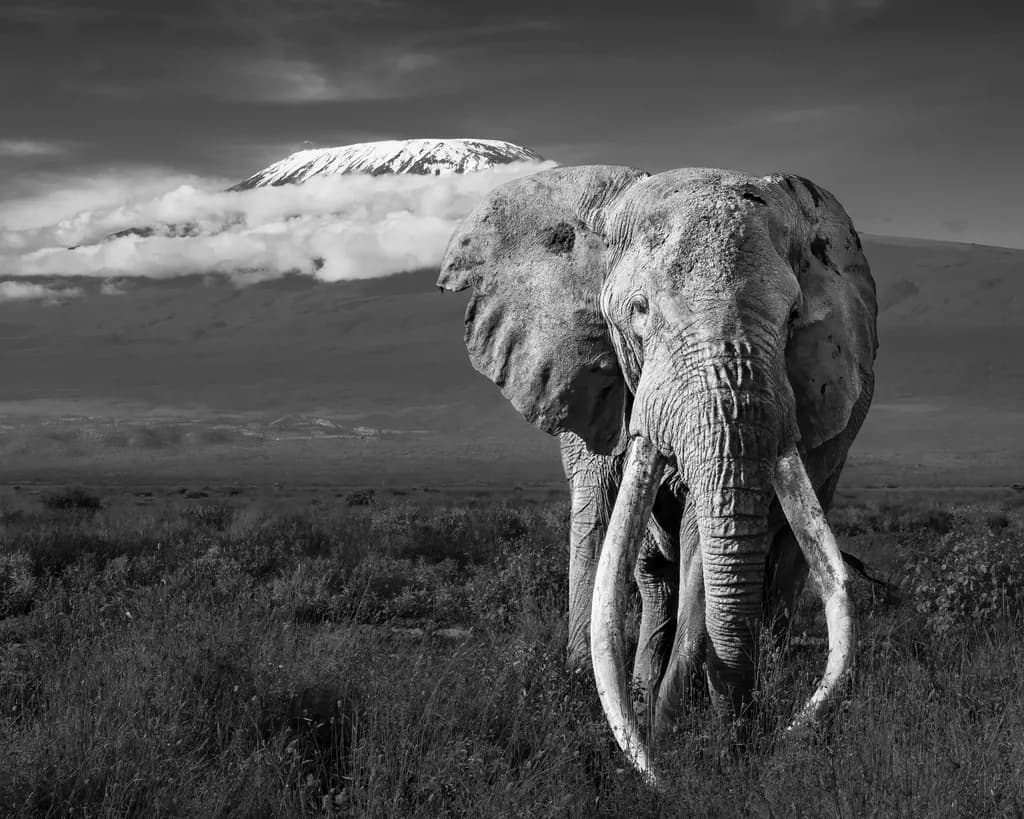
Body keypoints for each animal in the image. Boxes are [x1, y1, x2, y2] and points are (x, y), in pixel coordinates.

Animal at [436, 165, 877, 782]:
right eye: (639, 311)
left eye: (794, 317)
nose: (745, 743)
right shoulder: (584, 375)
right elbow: (599, 517)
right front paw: (587, 700)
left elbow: (700, 530)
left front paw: (671, 728)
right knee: (650, 568)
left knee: (790, 553)